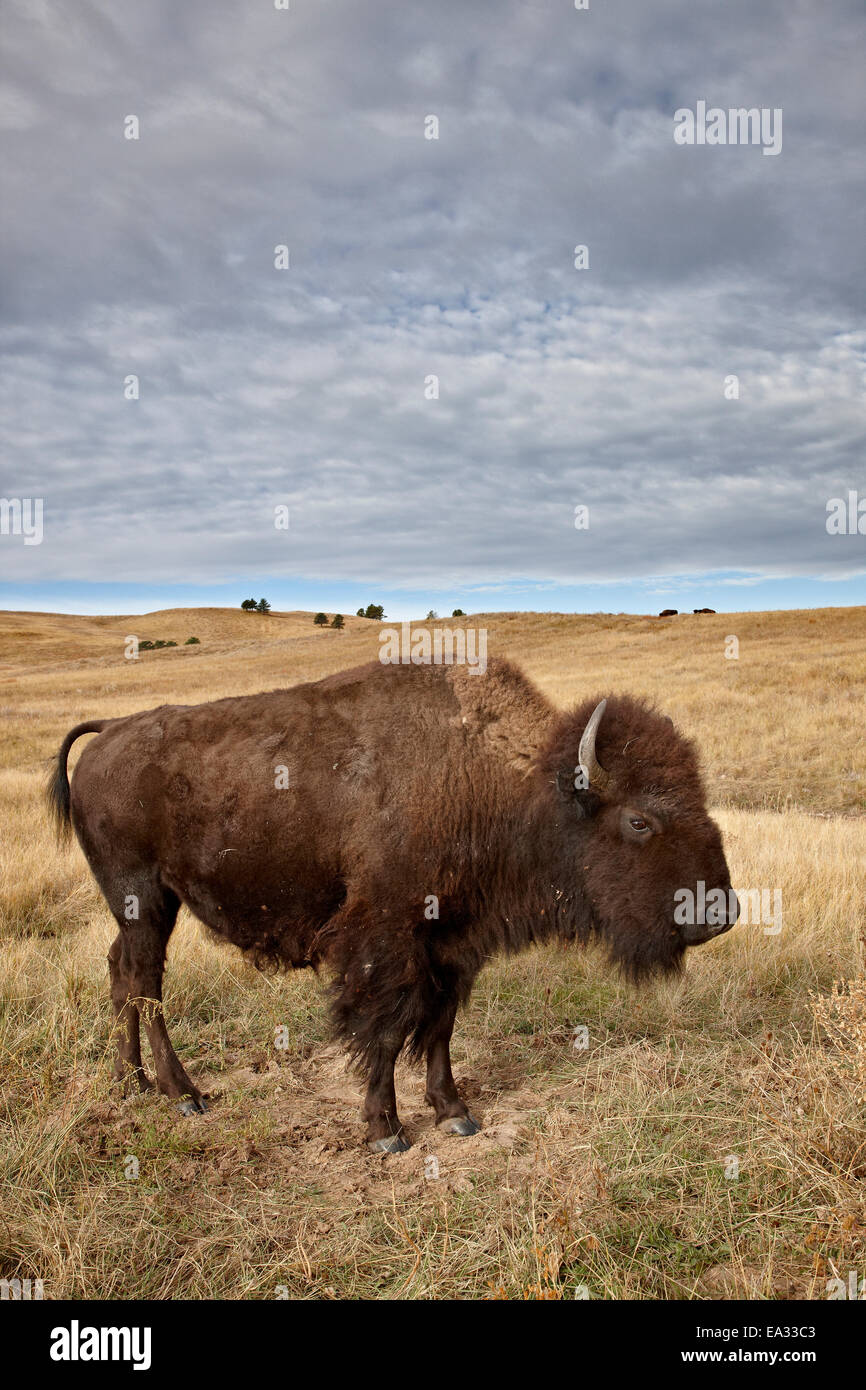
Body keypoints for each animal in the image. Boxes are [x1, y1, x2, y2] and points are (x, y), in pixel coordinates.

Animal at [48, 658, 739, 1153]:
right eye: (639, 820)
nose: (718, 913)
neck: (499, 783)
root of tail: (107, 733)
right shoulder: (386, 939)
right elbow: (384, 1026)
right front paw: (387, 1132)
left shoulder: (453, 942)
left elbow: (439, 1024)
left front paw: (455, 1113)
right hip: (145, 899)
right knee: (144, 982)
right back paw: (183, 1093)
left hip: (141, 908)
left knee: (120, 973)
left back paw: (130, 1083)